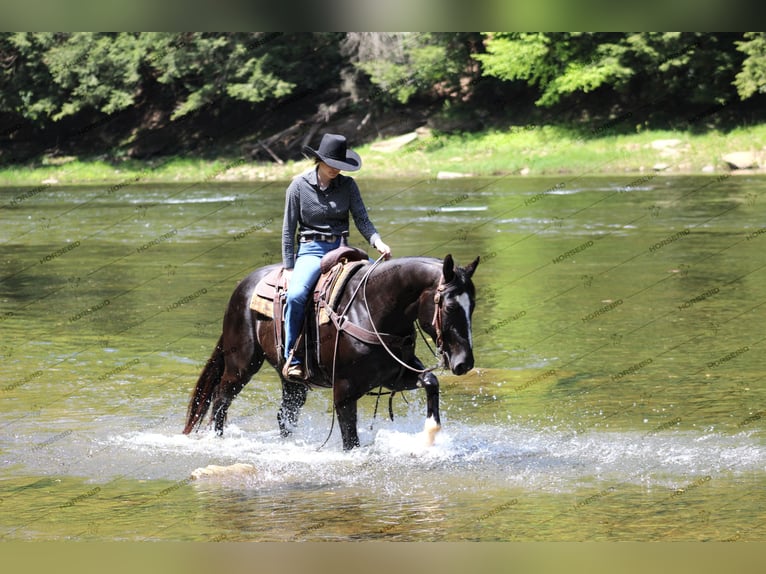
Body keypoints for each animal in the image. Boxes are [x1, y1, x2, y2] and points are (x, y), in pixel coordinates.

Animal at [182, 255, 476, 450]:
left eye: (472, 306)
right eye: (450, 306)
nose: (464, 363)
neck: (372, 311)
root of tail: (242, 287)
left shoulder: (394, 376)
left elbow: (430, 380)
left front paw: (430, 433)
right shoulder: (344, 390)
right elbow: (350, 439)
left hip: (292, 381)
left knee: (285, 415)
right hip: (241, 365)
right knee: (220, 400)